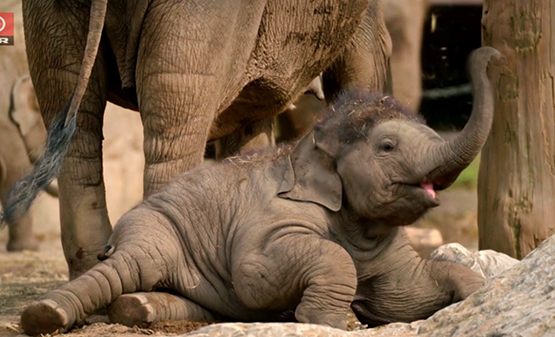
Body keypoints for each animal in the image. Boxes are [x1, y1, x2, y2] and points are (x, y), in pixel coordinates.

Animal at [20, 46, 504, 334]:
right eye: (387, 146)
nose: (492, 55)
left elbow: (409, 292)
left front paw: (475, 294)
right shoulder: (272, 219)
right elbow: (258, 273)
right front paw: (339, 322)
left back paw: (138, 309)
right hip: (154, 228)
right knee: (133, 264)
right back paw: (46, 316)